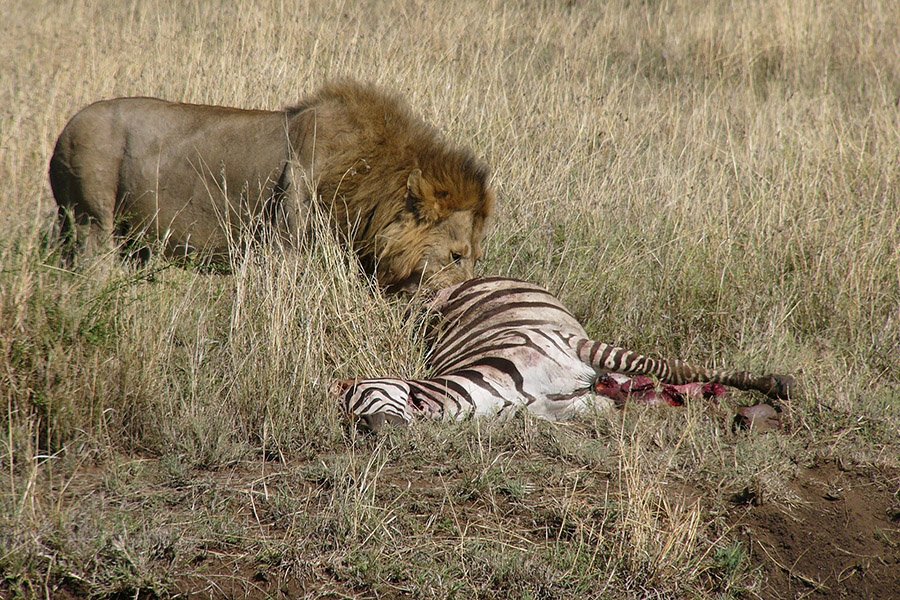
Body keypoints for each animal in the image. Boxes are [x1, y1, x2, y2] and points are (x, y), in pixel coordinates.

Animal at [48, 80, 496, 292]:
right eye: (455, 256)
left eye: (476, 256)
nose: (466, 296)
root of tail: (65, 129)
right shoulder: (283, 249)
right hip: (91, 220)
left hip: (133, 239)